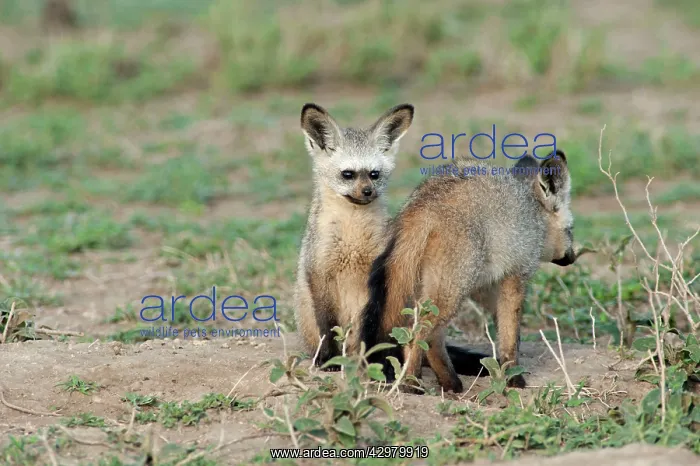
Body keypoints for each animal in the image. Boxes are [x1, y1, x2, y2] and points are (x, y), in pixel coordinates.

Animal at [293, 102, 415, 367]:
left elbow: (370, 326)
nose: (368, 192)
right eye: (347, 174)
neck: (352, 238)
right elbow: (328, 326)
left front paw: (372, 359)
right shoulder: (319, 272)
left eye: (374, 174)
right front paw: (328, 359)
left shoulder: (378, 275)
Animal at [360, 150, 577, 393]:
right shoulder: (516, 277)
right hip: (452, 292)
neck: (533, 213)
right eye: (571, 230)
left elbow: (504, 332)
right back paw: (412, 383)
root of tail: (425, 205)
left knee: (430, 337)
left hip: (438, 289)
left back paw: (449, 383)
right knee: (419, 333)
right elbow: (511, 337)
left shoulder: (487, 287)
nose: (572, 257)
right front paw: (514, 378)